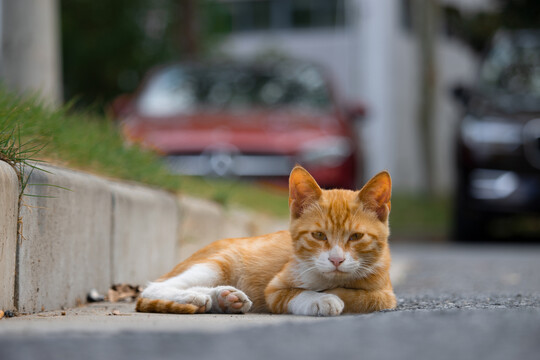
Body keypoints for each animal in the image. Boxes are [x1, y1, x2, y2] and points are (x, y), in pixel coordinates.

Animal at [135, 166, 396, 316]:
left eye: (356, 236)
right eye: (319, 235)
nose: (336, 260)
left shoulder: (386, 293)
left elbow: (368, 297)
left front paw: (334, 291)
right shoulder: (275, 289)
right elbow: (295, 293)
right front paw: (322, 298)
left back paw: (223, 298)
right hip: (221, 262)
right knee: (153, 288)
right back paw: (195, 296)